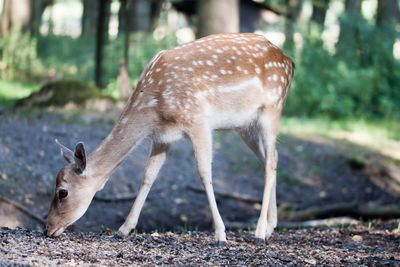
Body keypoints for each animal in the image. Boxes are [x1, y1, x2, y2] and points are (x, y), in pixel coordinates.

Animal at [45, 33, 294, 247]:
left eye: (62, 192)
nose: (47, 228)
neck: (154, 108)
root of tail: (289, 62)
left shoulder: (198, 121)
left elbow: (204, 173)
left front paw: (221, 236)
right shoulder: (162, 137)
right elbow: (148, 176)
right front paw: (123, 230)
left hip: (272, 109)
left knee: (271, 161)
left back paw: (259, 233)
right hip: (244, 125)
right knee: (269, 159)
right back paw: (270, 228)